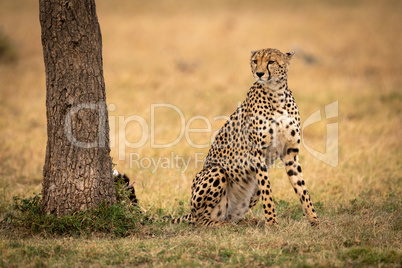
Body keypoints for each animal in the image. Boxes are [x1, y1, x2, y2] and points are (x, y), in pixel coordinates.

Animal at [171, 48, 318, 226]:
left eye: (271, 61)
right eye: (255, 61)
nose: (259, 73)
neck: (277, 94)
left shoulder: (290, 153)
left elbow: (302, 189)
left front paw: (315, 220)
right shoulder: (258, 154)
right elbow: (268, 193)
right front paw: (272, 223)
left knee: (231, 215)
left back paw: (246, 222)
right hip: (216, 171)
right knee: (200, 220)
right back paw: (223, 225)